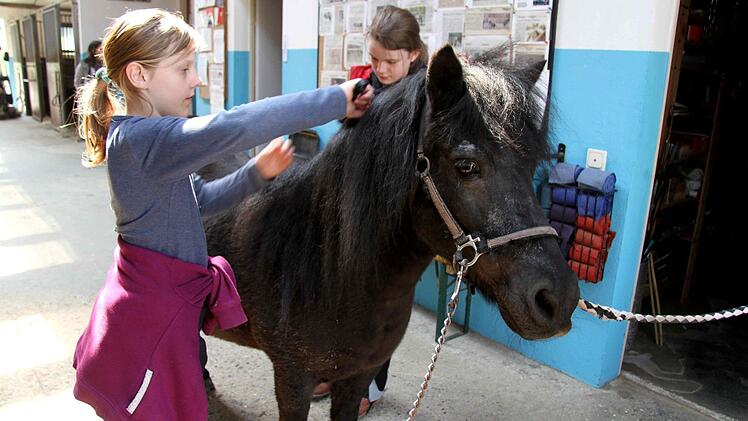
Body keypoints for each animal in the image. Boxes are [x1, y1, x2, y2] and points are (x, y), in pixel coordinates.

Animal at [204, 45, 580, 420]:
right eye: (466, 166)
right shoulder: (291, 381)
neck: (327, 272)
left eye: (531, 166)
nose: (557, 300)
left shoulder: (358, 376)